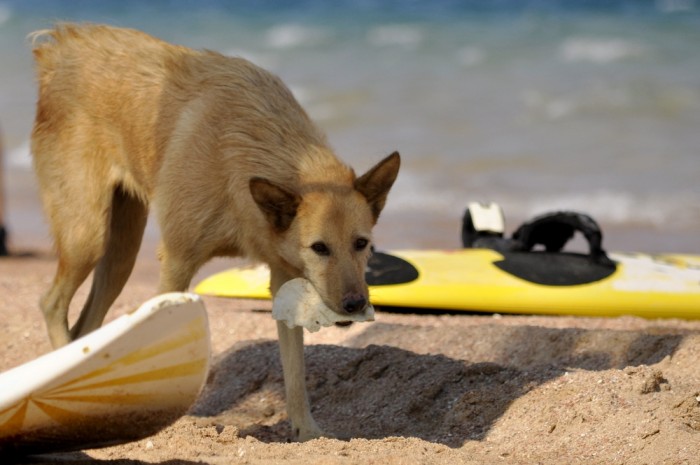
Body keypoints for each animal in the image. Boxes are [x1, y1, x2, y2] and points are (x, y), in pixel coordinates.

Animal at [30, 23, 400, 440]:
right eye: (320, 248)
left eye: (362, 244)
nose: (355, 305)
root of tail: (59, 48)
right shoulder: (177, 261)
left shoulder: (283, 276)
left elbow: (295, 374)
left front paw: (308, 433)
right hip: (87, 239)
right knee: (52, 304)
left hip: (120, 254)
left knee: (85, 326)